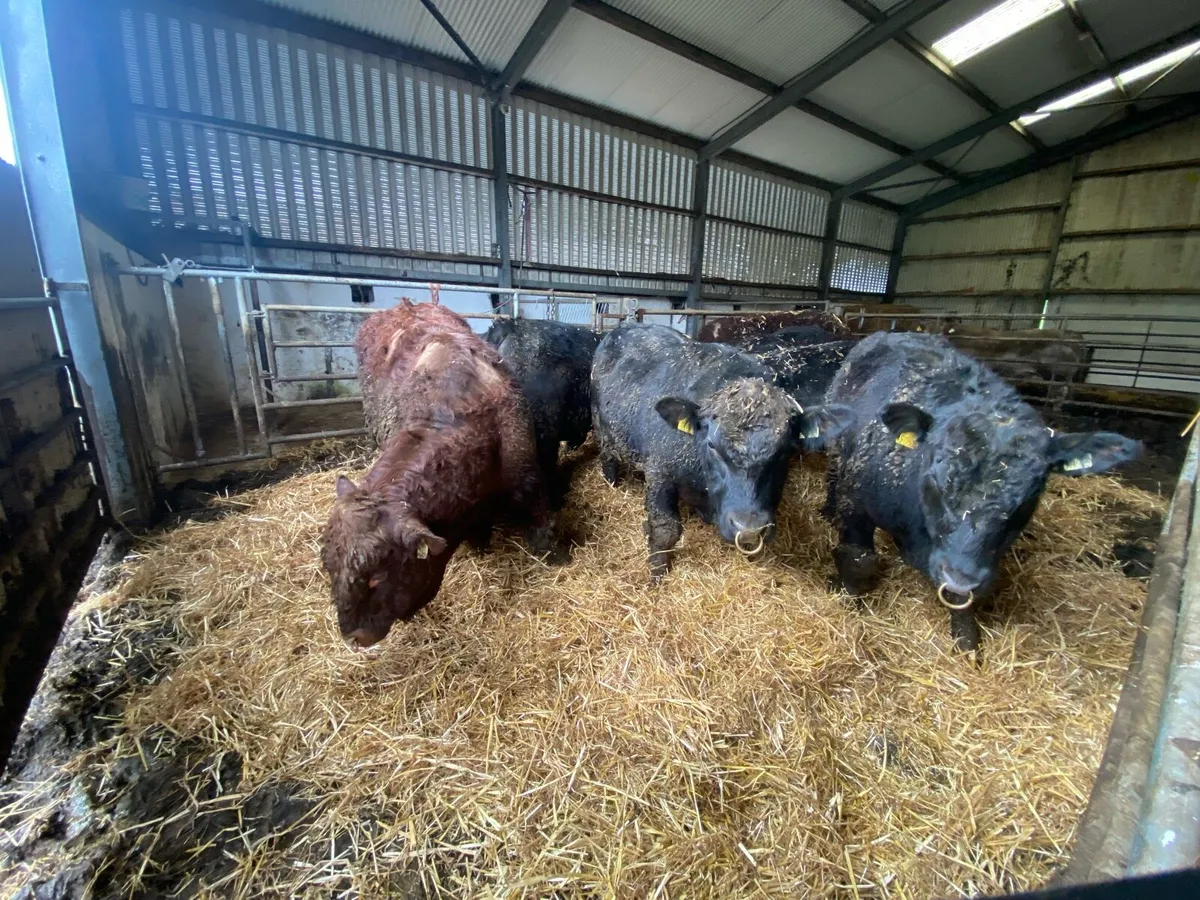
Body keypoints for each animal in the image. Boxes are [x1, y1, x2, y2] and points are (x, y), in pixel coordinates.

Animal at [592, 323, 853, 581]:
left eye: (784, 451)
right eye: (712, 446)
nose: (748, 529)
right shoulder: (659, 474)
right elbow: (665, 530)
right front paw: (657, 573)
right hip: (602, 431)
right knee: (608, 458)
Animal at [824, 332, 1139, 652]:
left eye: (1028, 498)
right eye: (935, 478)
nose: (960, 578)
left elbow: (962, 600)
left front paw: (966, 644)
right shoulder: (856, 503)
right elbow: (859, 561)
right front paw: (847, 603)